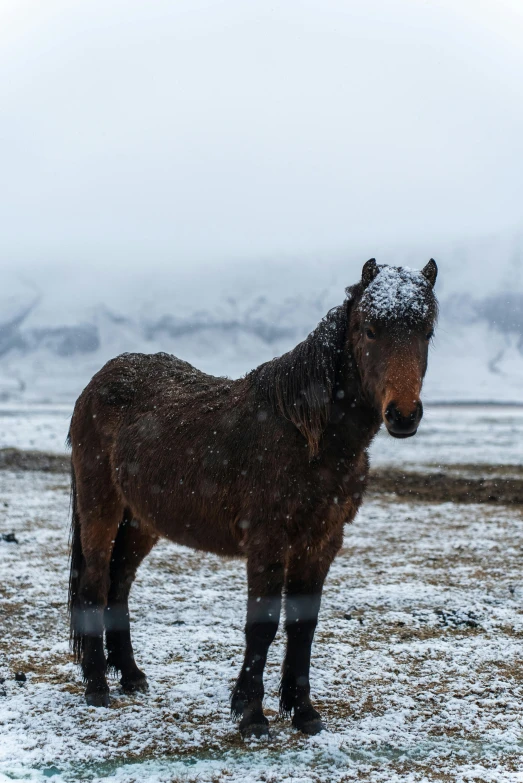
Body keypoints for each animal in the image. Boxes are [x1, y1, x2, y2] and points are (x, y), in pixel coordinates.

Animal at [67, 260, 440, 740]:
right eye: (371, 329)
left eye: (427, 331)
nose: (403, 415)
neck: (305, 433)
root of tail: (98, 382)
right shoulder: (268, 541)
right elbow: (262, 625)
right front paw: (251, 715)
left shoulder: (322, 542)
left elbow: (303, 626)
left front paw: (303, 711)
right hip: (101, 508)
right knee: (95, 585)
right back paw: (97, 686)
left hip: (141, 522)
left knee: (119, 585)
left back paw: (130, 676)